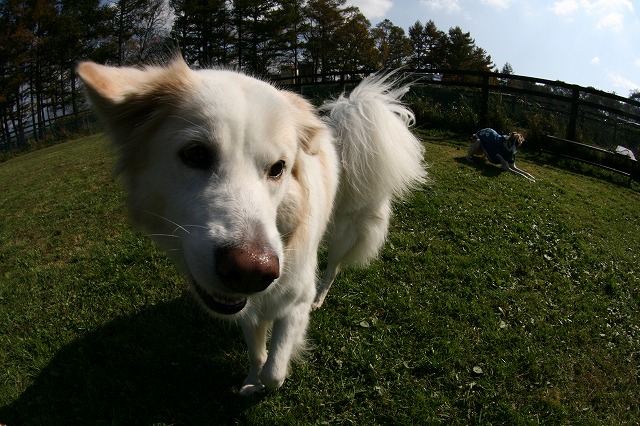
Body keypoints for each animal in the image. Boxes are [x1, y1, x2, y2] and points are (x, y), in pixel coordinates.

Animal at [76, 56, 424, 396]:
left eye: (278, 168)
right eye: (195, 154)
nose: (252, 272)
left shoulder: (294, 303)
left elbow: (275, 371)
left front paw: (269, 378)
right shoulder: (244, 306)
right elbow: (258, 354)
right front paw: (251, 380)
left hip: (344, 232)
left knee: (333, 267)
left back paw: (321, 296)